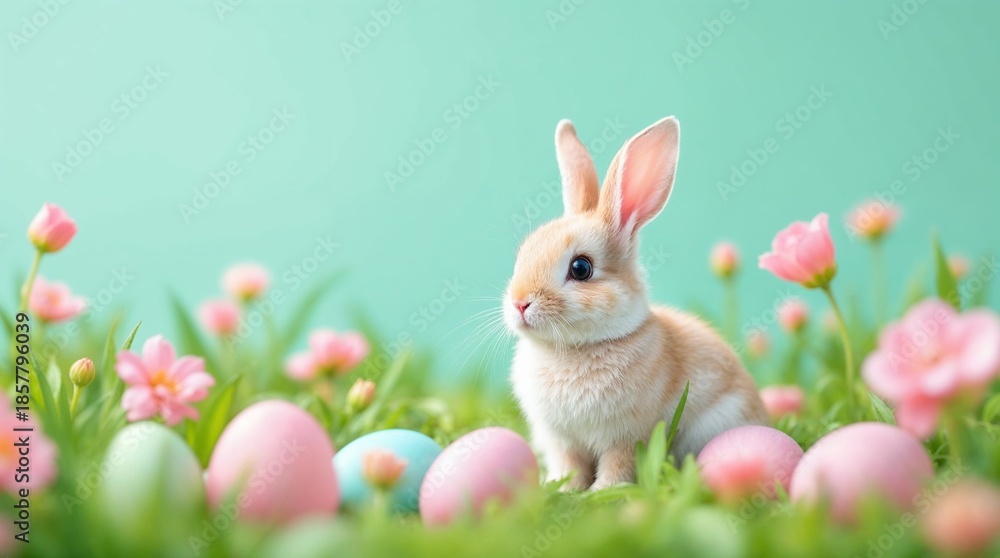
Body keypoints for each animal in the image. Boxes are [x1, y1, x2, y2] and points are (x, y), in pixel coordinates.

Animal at [504, 116, 769, 491]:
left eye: (581, 268)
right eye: (523, 255)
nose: (519, 303)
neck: (574, 349)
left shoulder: (626, 438)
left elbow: (618, 466)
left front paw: (602, 492)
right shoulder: (561, 441)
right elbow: (568, 467)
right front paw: (563, 489)